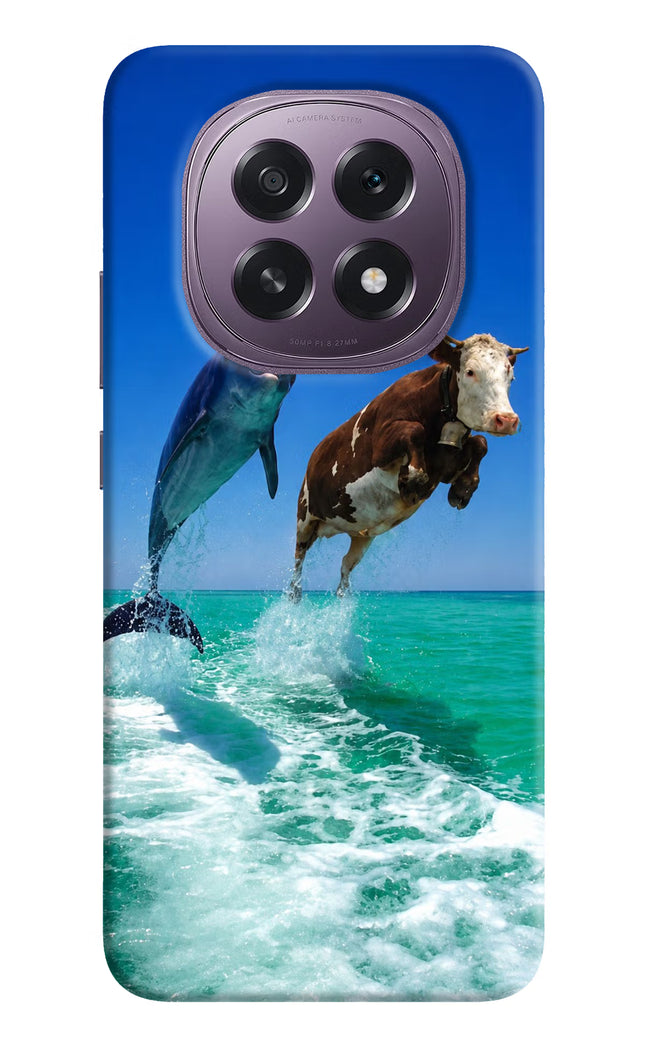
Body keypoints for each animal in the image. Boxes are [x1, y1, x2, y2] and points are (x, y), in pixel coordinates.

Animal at [289, 333, 528, 600]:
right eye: (470, 371)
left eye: (510, 376)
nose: (506, 420)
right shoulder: (380, 448)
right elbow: (415, 430)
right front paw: (413, 479)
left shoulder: (446, 466)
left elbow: (480, 443)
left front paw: (463, 489)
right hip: (304, 517)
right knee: (298, 560)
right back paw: (295, 594)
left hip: (361, 534)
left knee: (345, 565)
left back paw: (343, 597)